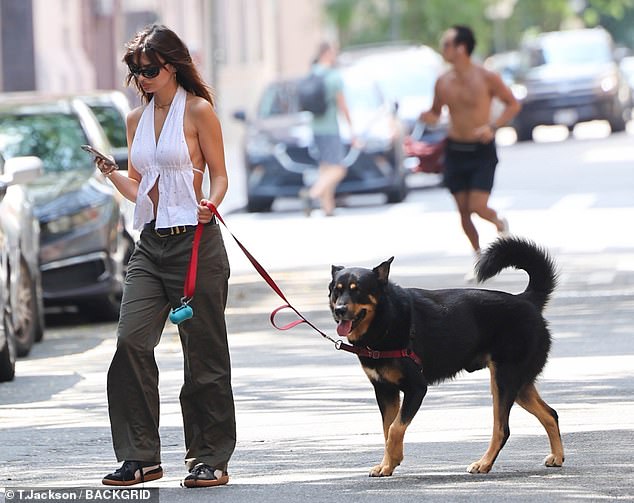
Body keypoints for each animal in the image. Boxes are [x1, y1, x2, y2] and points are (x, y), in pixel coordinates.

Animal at [328, 236, 560, 476]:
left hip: (504, 380)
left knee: (502, 429)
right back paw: (557, 457)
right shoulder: (385, 391)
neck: (387, 318)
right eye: (337, 290)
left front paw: (393, 460)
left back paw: (484, 463)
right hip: (519, 385)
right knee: (550, 414)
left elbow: (394, 429)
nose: (339, 309)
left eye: (357, 290)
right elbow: (387, 430)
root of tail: (527, 300)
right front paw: (389, 463)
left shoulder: (416, 388)